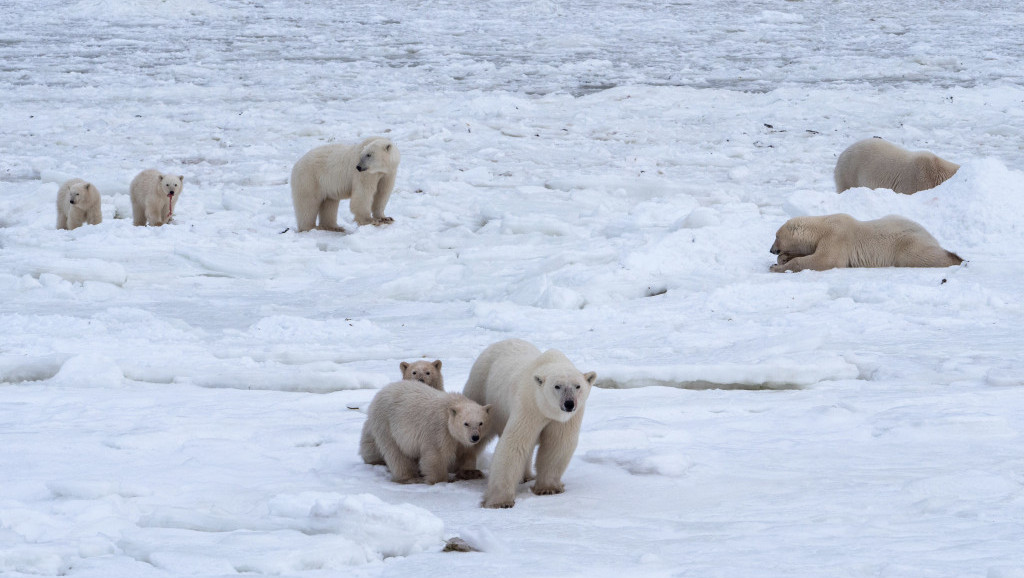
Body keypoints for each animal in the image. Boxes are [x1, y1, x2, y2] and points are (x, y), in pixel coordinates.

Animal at [360, 379, 491, 483]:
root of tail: (380, 392)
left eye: (481, 423)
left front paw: (470, 472)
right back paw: (410, 477)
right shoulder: (440, 429)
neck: (451, 405)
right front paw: (440, 480)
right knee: (396, 453)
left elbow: (464, 453)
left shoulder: (460, 440)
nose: (475, 437)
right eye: (466, 423)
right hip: (386, 423)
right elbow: (436, 455)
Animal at [462, 336, 598, 508]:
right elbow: (515, 443)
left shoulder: (565, 419)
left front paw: (548, 488)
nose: (569, 404)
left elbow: (557, 445)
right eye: (557, 386)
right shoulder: (529, 406)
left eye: (577, 386)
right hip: (481, 389)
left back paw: (526, 476)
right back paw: (467, 470)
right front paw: (500, 501)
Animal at [770, 214, 962, 272]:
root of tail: (930, 236)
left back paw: (956, 258)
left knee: (921, 256)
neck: (822, 227)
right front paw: (783, 258)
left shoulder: (836, 237)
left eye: (776, 236)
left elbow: (825, 260)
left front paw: (776, 267)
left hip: (907, 244)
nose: (772, 250)